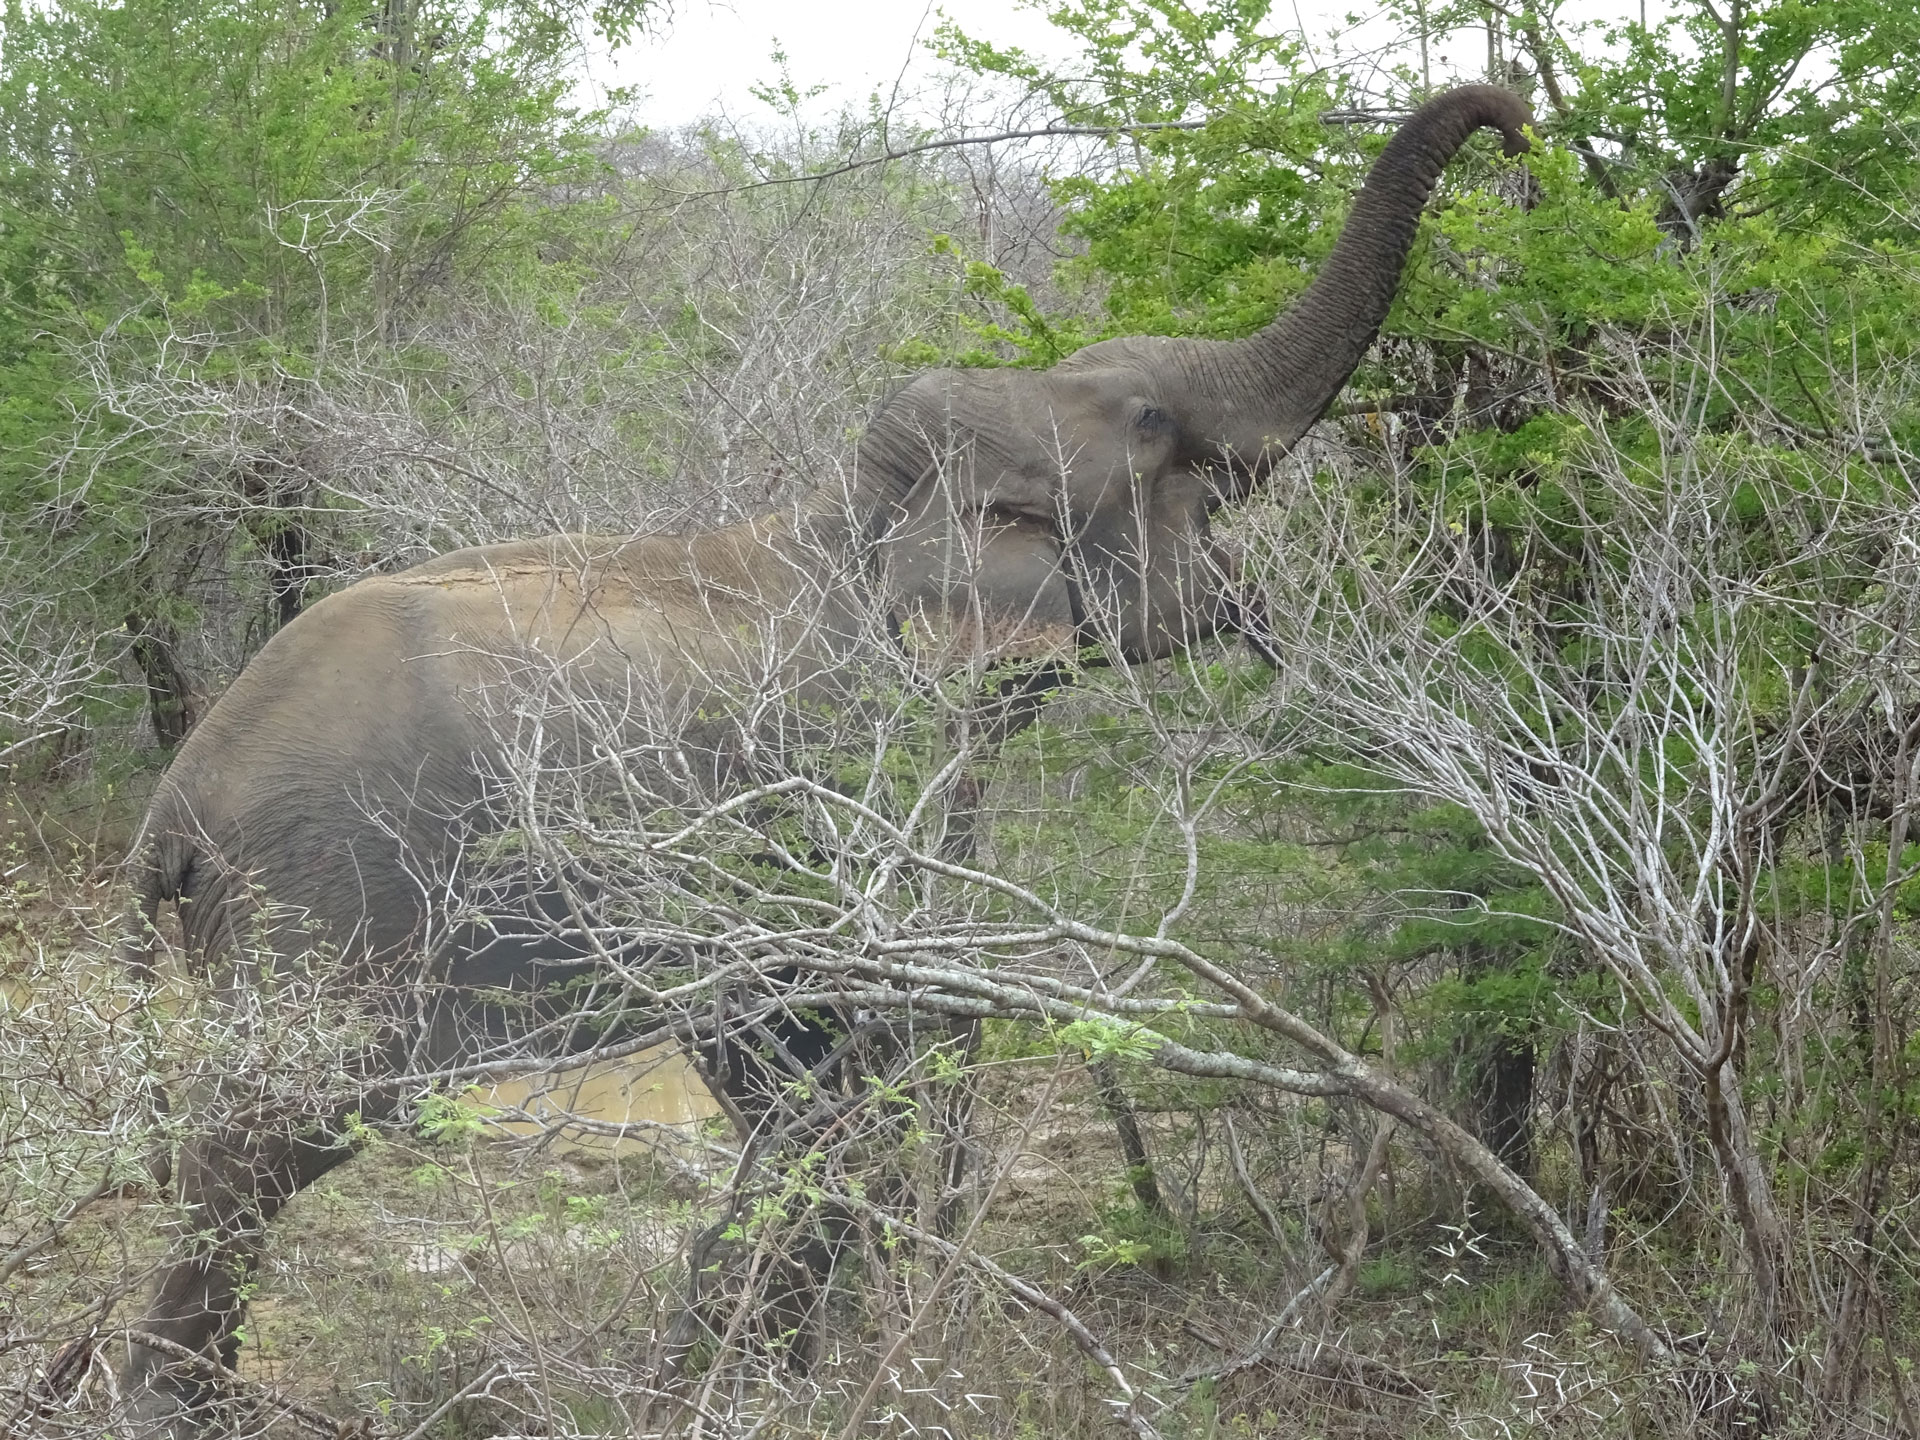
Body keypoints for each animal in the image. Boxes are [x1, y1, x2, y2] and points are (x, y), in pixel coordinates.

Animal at [106, 84, 1532, 1428]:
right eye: (1148, 423)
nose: (1517, 124)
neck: (861, 516)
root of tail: (172, 808)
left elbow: (799, 1083)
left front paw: (748, 1375)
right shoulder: (842, 777)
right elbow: (842, 1056)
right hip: (320, 906)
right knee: (265, 1147)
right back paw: (173, 1403)